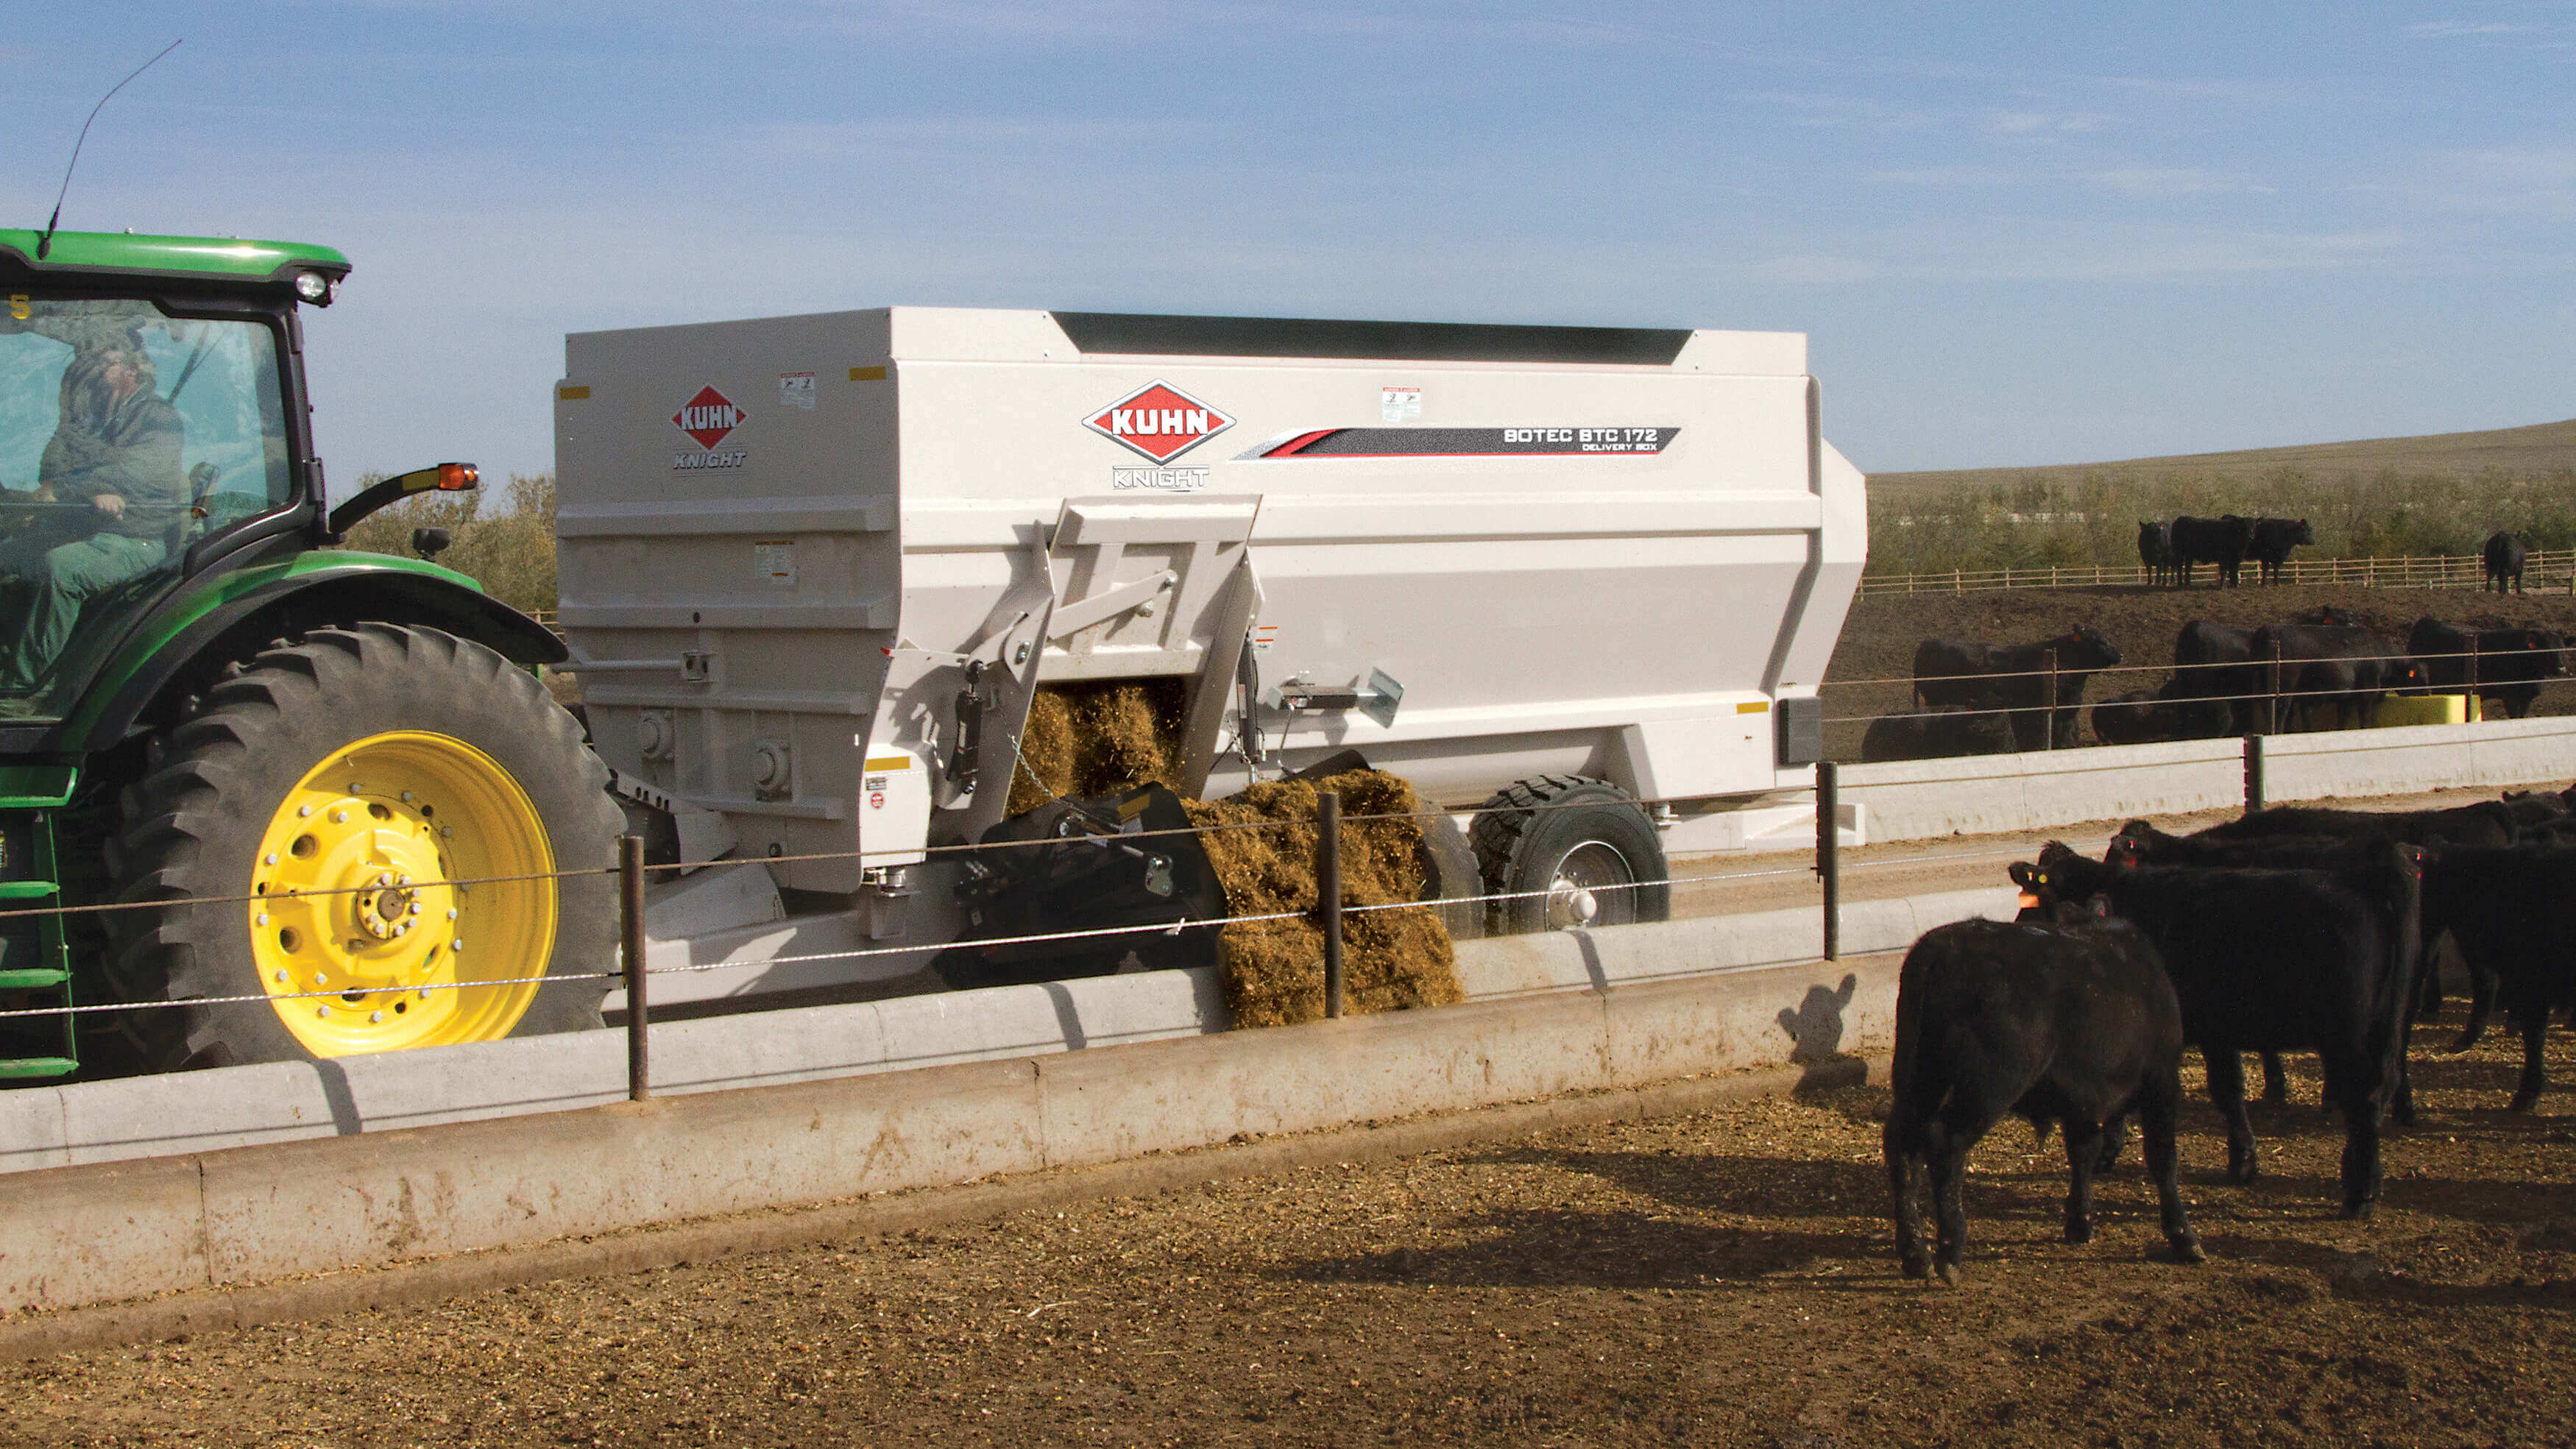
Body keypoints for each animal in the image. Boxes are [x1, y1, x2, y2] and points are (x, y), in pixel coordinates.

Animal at [1886, 916, 2205, 1281]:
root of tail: (1942, 947)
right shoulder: (2161, 1080)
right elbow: (2163, 1159)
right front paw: (2183, 1236)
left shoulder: (2082, 1100)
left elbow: (2083, 1152)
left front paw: (2080, 1221)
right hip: (1988, 1087)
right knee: (1945, 1143)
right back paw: (1950, 1249)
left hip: (1921, 1080)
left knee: (1903, 1144)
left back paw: (1915, 1253)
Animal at [2020, 844, 2421, 1219]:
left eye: (2041, 904)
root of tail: (2363, 878)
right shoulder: (2213, 1033)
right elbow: (2228, 1092)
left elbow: (2222, 1092)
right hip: (2380, 1029)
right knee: (2377, 1097)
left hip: (2350, 1037)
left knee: (2365, 1100)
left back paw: (2360, 1196)